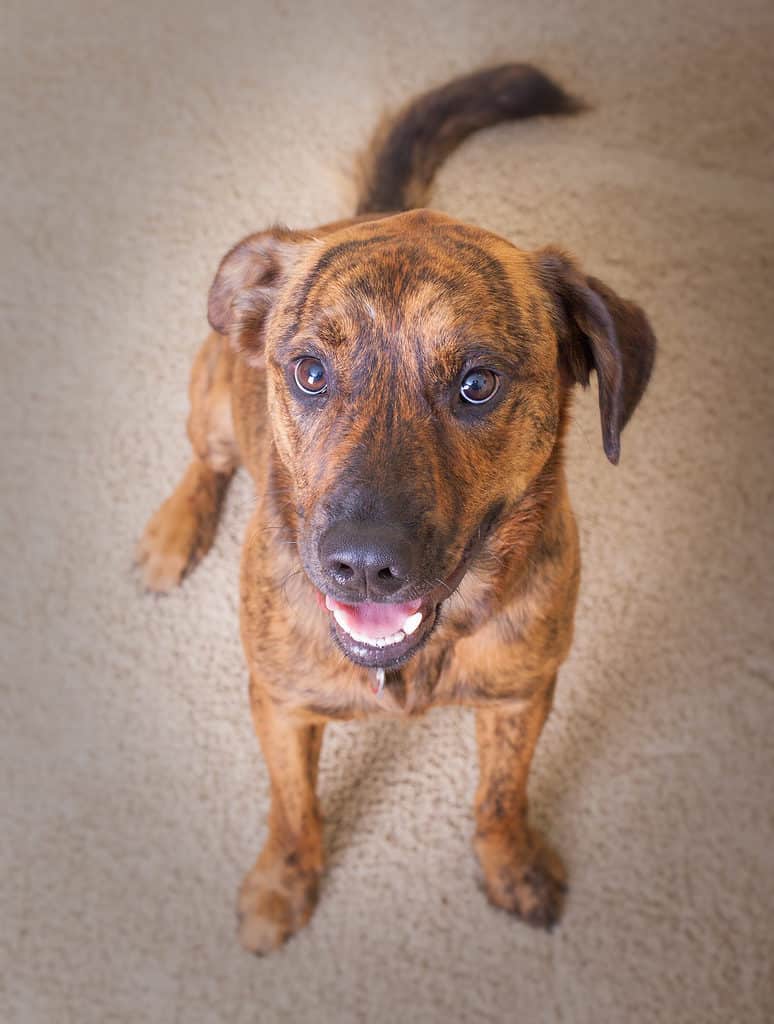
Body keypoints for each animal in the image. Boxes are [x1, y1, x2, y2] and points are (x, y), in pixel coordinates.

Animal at [137, 68, 651, 954]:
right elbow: (294, 810)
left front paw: (510, 862)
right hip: (210, 396)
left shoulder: (523, 697)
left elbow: (502, 794)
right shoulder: (280, 705)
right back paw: (173, 530)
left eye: (477, 383)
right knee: (207, 460)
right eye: (309, 371)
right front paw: (284, 883)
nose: (364, 565)